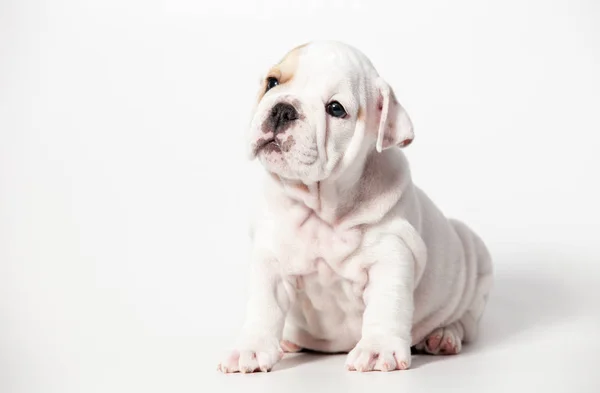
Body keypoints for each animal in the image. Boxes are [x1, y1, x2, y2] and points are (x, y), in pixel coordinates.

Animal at [219, 41, 492, 372]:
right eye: (272, 82)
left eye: (336, 109)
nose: (284, 109)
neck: (320, 208)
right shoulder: (270, 257)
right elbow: (264, 305)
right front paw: (251, 349)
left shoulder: (392, 254)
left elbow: (387, 305)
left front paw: (378, 349)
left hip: (475, 258)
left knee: (466, 319)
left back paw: (443, 336)